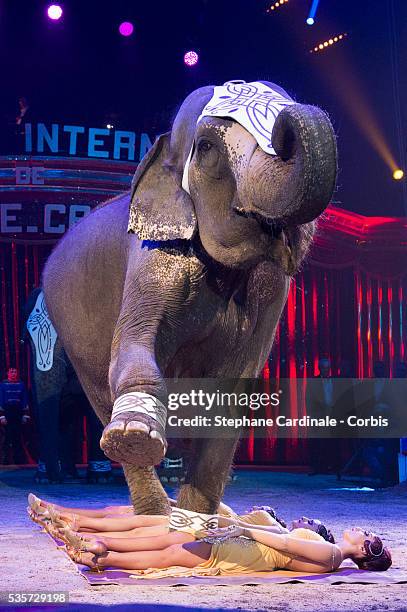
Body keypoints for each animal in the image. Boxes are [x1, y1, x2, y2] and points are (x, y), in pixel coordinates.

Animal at [43, 79, 340, 512]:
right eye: (207, 147)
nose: (287, 123)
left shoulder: (271, 293)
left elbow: (233, 391)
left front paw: (199, 522)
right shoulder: (151, 250)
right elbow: (134, 340)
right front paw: (134, 434)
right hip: (73, 335)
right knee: (101, 394)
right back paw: (152, 514)